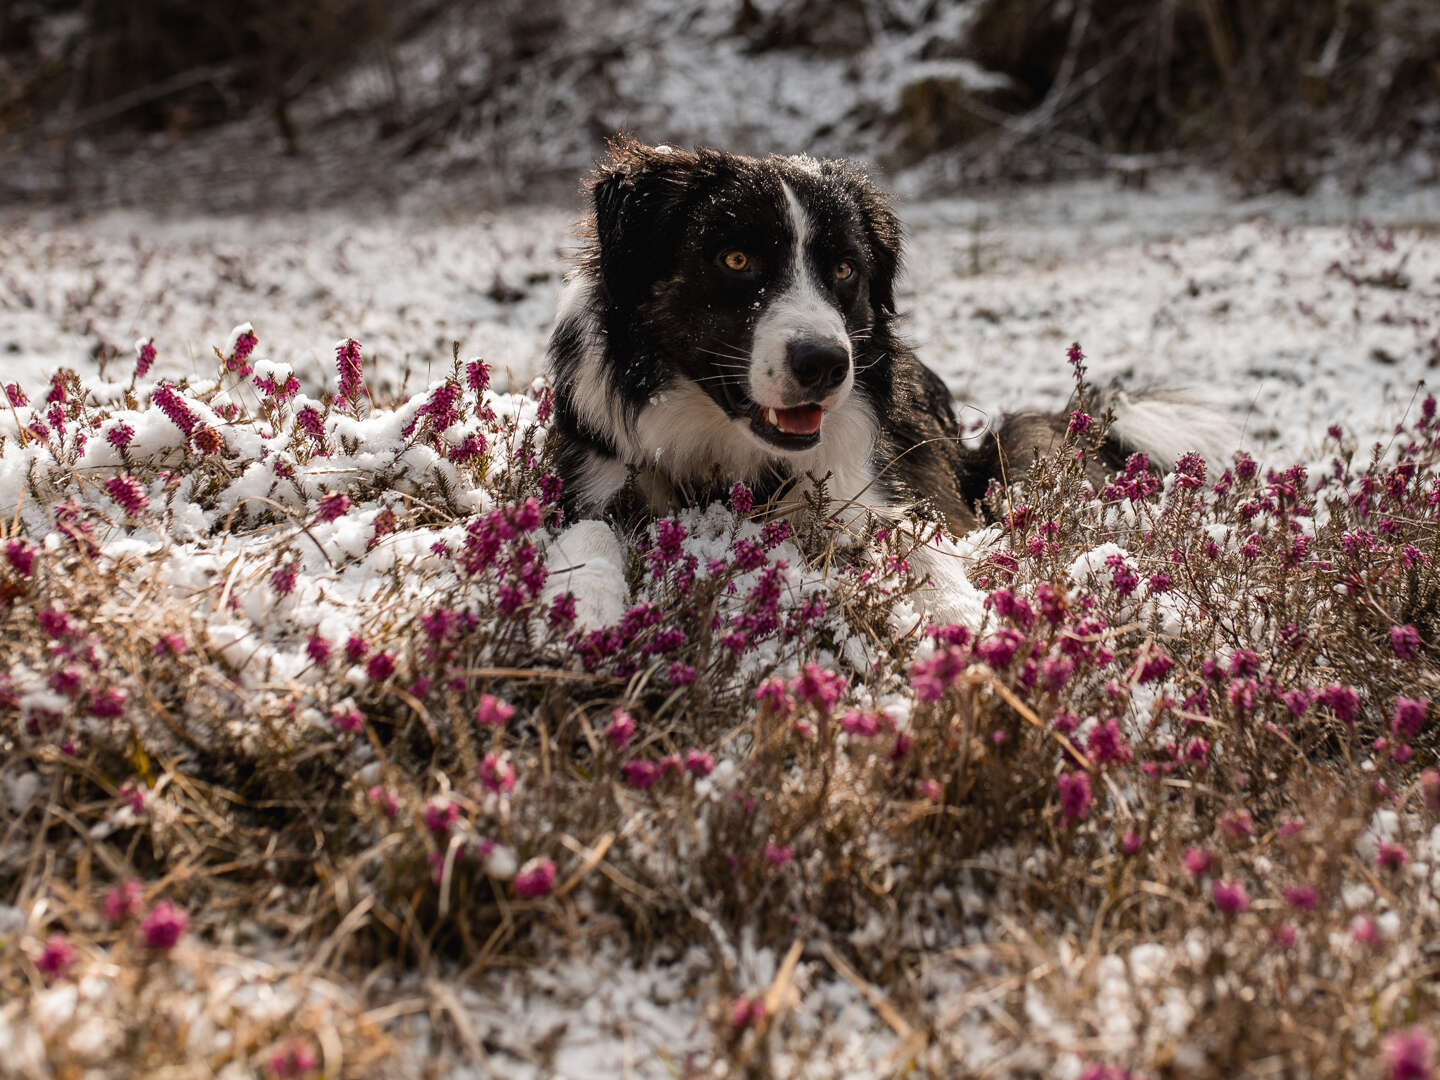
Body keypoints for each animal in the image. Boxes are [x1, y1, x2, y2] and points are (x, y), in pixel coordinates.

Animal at [541, 136, 1238, 624]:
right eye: (735, 259)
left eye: (845, 270)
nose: (825, 363)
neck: (722, 444)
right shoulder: (592, 476)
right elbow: (589, 533)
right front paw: (582, 601)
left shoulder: (863, 488)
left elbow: (916, 542)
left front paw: (966, 623)